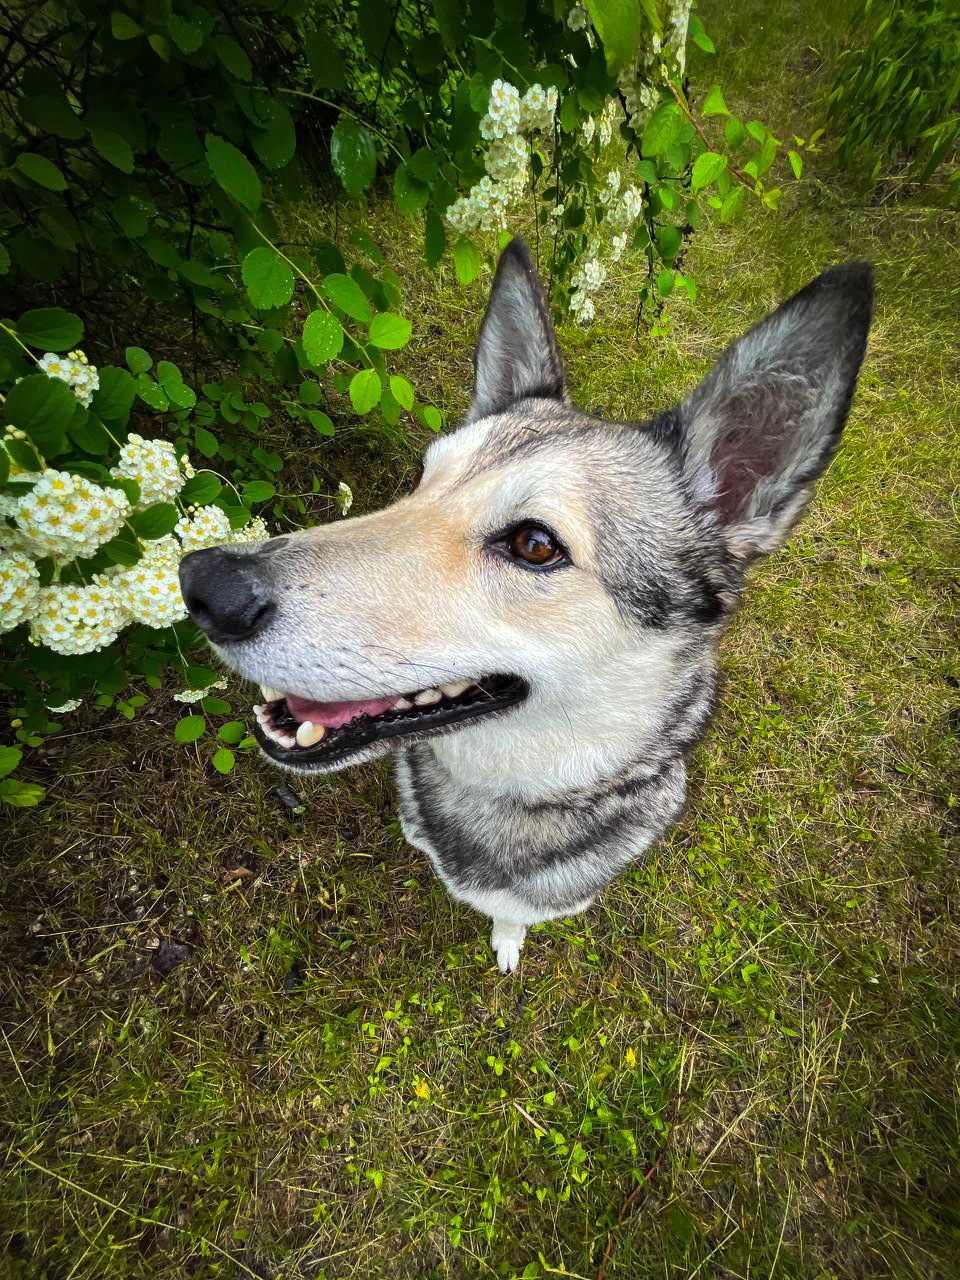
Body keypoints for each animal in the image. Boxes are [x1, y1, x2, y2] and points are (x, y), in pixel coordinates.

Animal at [179, 240, 870, 967]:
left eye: (535, 545)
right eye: (420, 482)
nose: (205, 584)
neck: (504, 788)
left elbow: (514, 915)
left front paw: (506, 942)